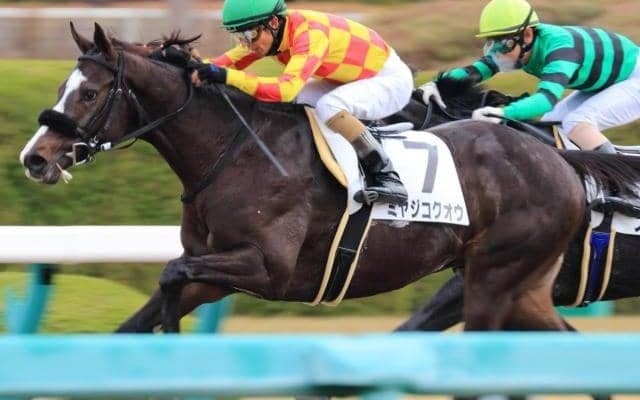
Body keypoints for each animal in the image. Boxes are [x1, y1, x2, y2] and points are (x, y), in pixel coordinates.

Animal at [18, 23, 640, 335]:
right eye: (61, 88)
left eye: (90, 93)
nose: (34, 158)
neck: (238, 151)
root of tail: (559, 164)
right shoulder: (216, 270)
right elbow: (147, 308)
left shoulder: (266, 268)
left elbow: (170, 276)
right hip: (519, 285)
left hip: (495, 275)